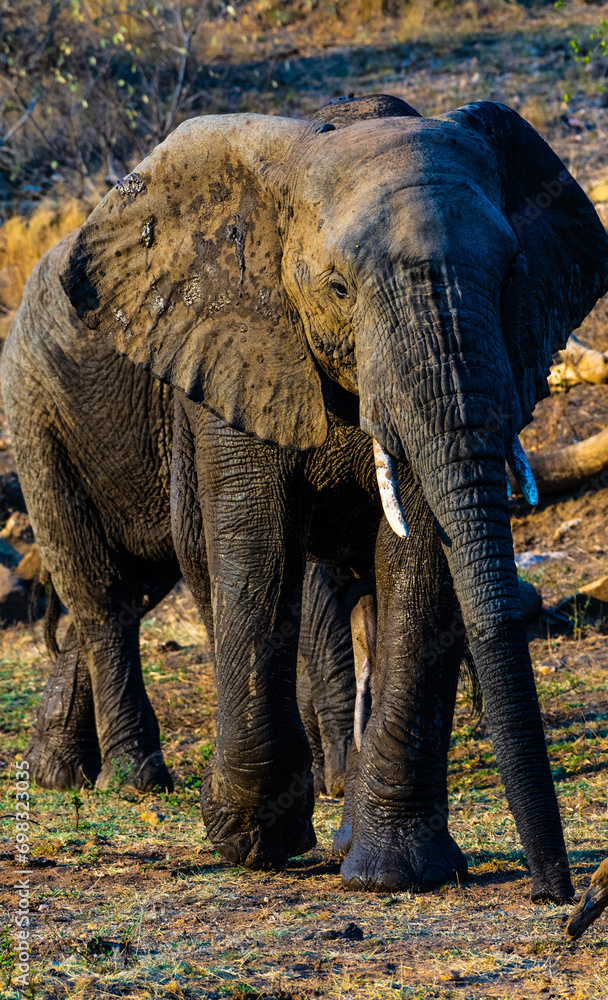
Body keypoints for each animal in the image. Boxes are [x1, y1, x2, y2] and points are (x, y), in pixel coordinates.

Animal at [3, 92, 608, 900]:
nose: (557, 894)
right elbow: (254, 548)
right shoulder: (230, 345)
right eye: (338, 288)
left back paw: (62, 774)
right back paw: (134, 783)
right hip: (35, 406)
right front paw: (250, 837)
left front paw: (390, 871)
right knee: (106, 594)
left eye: (513, 273)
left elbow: (419, 561)